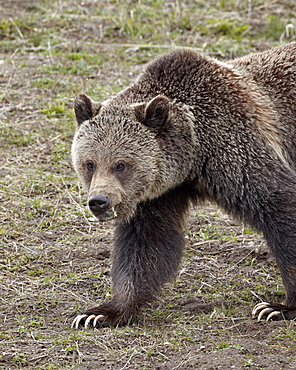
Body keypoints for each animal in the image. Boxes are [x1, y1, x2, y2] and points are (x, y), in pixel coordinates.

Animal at [71, 42, 296, 328]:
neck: (194, 154)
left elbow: (280, 206)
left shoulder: (237, 151)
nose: (99, 201)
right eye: (90, 163)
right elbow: (145, 245)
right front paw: (102, 312)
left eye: (121, 165)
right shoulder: (158, 194)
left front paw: (277, 307)